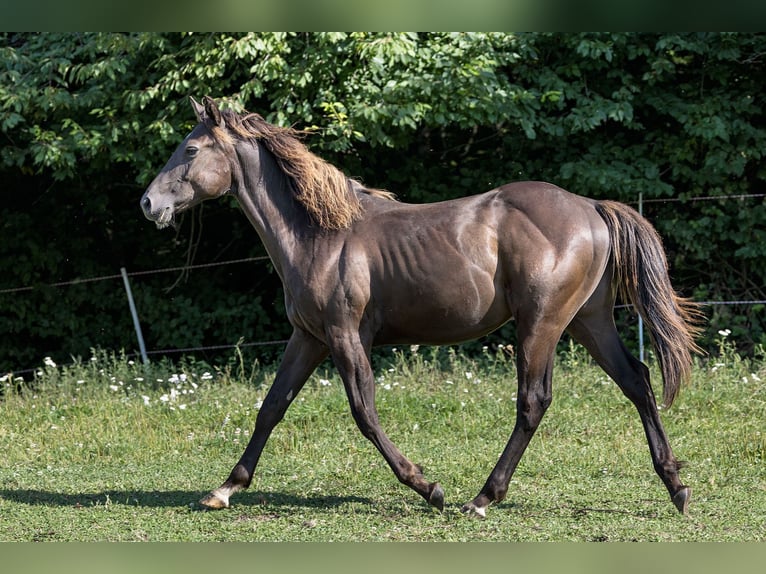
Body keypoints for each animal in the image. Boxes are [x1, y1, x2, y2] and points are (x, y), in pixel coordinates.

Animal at [141, 97, 704, 520]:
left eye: (190, 147)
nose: (149, 204)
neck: (319, 235)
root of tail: (591, 207)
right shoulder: (309, 337)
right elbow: (271, 407)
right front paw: (224, 489)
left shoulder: (345, 336)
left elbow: (364, 412)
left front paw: (427, 487)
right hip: (588, 321)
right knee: (636, 380)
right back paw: (676, 487)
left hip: (541, 324)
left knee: (534, 401)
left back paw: (482, 498)